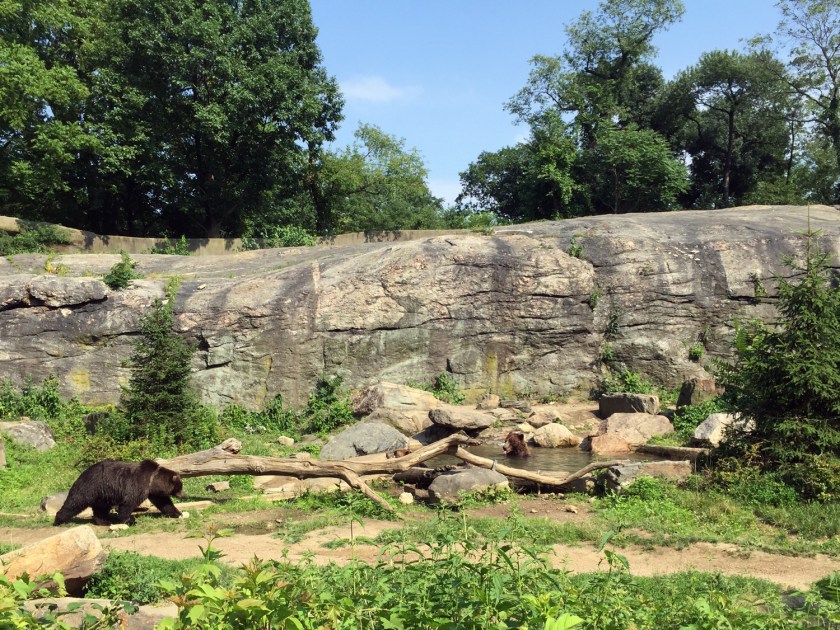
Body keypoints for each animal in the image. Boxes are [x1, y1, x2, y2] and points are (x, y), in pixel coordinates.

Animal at [53, 459, 185, 526]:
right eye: (180, 487)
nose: (184, 495)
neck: (151, 480)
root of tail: (81, 473)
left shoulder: (152, 492)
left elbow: (164, 502)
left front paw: (178, 513)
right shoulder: (137, 485)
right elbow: (128, 503)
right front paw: (129, 520)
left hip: (103, 495)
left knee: (100, 509)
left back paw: (104, 521)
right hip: (89, 488)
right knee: (74, 502)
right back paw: (58, 520)